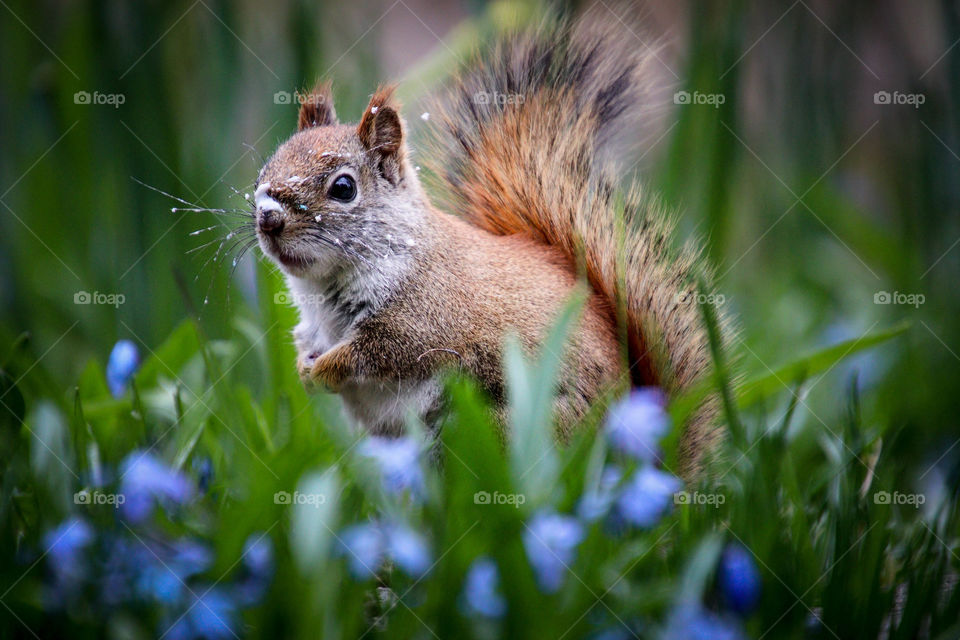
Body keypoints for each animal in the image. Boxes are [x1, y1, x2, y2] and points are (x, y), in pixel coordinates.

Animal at [253, 19, 721, 476]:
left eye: (344, 188)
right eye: (266, 168)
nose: (268, 218)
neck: (325, 288)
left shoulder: (424, 319)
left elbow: (375, 354)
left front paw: (325, 369)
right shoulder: (314, 325)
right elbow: (307, 343)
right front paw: (304, 370)